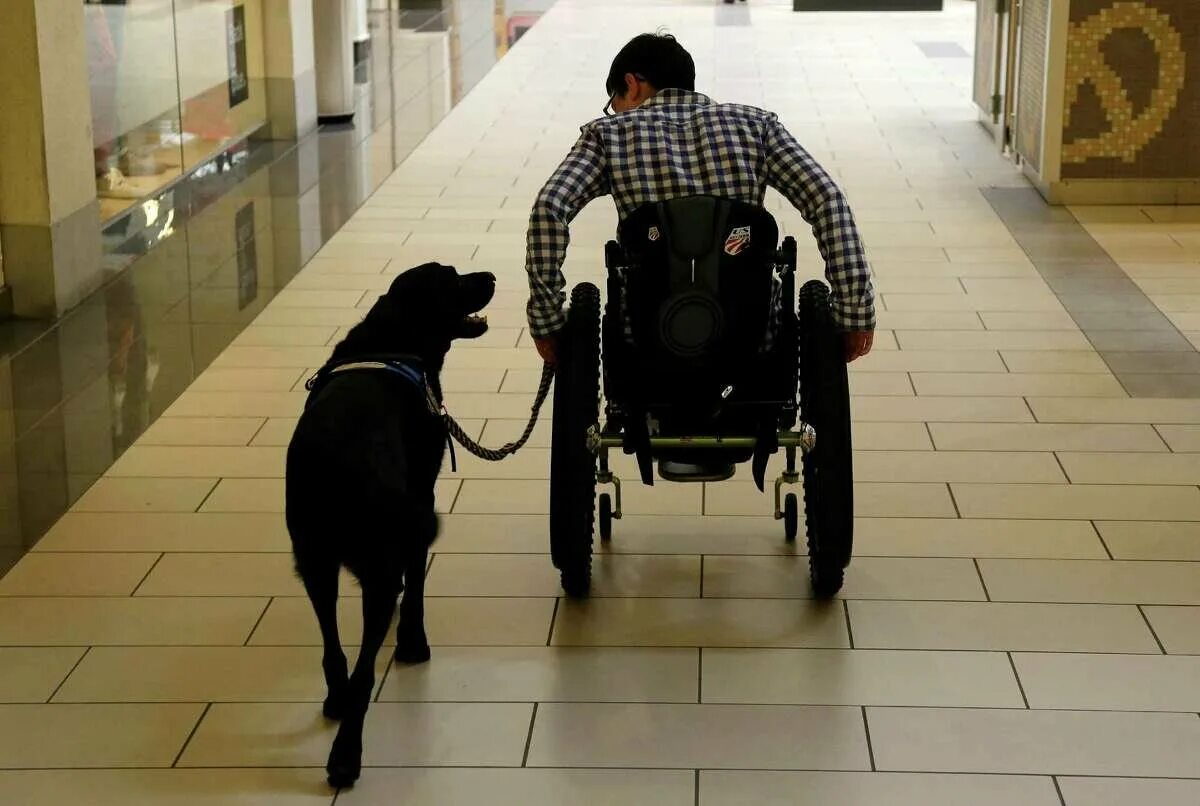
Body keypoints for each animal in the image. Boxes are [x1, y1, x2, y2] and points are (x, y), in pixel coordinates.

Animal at [288, 262, 494, 786]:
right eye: (453, 278)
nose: (491, 275)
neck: (392, 340)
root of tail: (336, 467)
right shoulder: (421, 497)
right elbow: (417, 582)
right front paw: (413, 643)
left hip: (313, 560)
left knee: (332, 644)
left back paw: (336, 700)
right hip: (377, 562)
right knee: (365, 669)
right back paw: (345, 755)